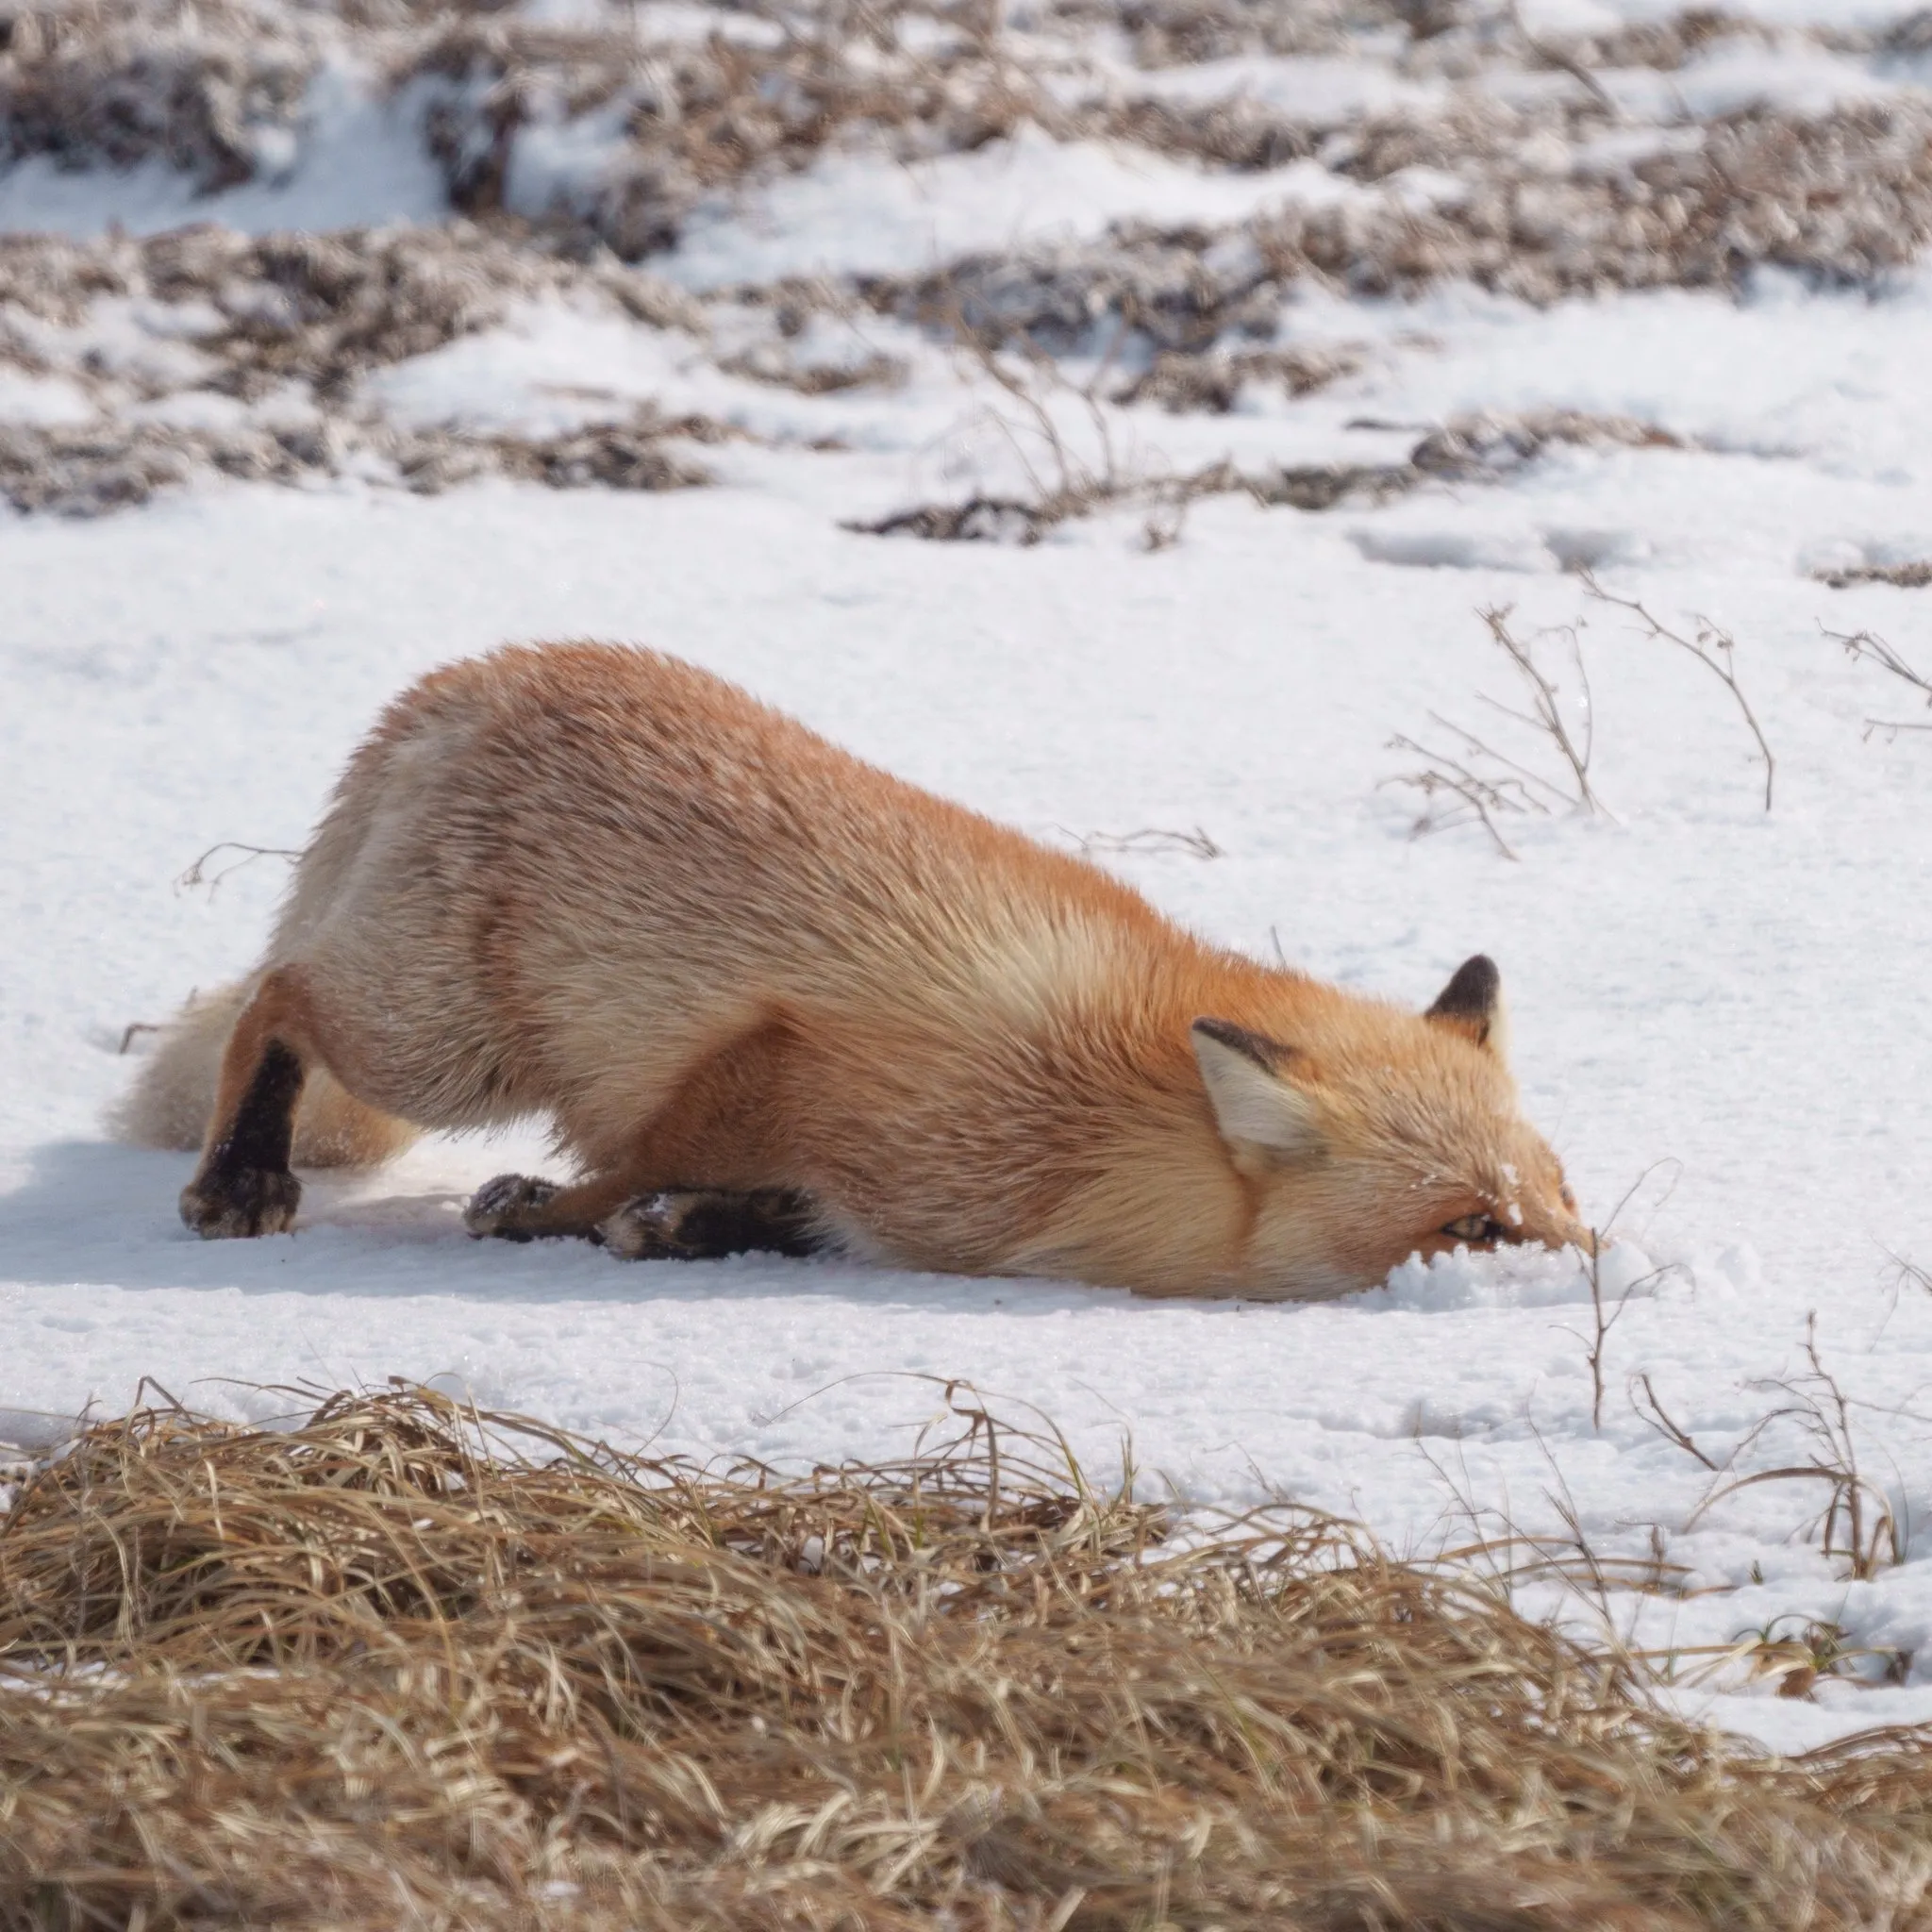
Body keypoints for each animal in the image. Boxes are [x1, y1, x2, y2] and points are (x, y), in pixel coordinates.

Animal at [118, 641, 1589, 1299]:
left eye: (1562, 1198)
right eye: (1472, 1225)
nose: (1602, 1278)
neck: (1103, 1113)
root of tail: (485, 671)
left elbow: (762, 1210)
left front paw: (694, 1228)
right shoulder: (784, 1063)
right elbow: (620, 1171)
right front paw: (554, 1217)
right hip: (442, 1046)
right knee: (277, 998)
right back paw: (239, 1177)